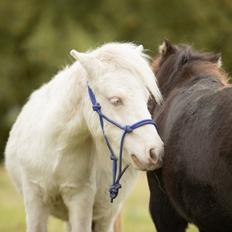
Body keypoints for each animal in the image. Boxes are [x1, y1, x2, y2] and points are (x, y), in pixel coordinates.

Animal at [4, 42, 164, 232]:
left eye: (146, 99)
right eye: (116, 100)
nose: (155, 152)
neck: (56, 149)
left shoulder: (81, 200)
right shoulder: (34, 198)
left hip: (107, 215)